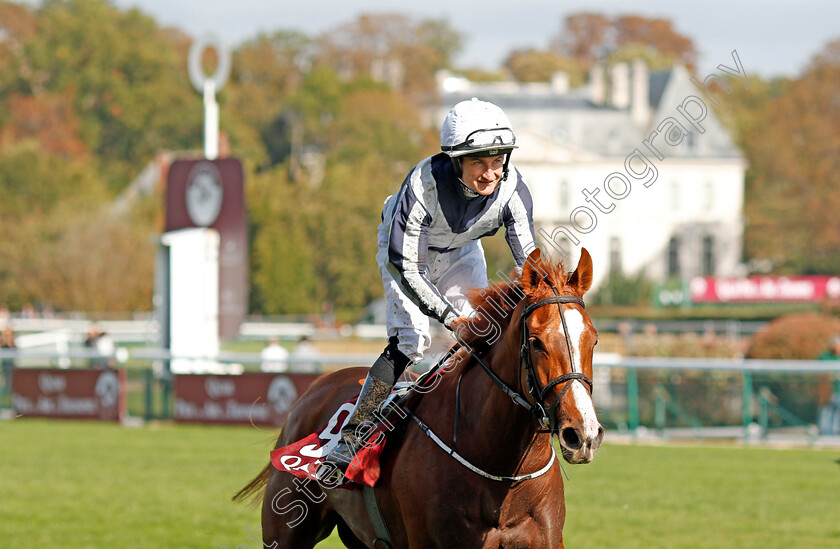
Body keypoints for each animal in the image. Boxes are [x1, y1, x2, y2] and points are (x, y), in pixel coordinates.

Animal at [236, 248, 604, 548]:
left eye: (594, 339)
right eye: (537, 342)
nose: (582, 434)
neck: (502, 473)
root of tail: (317, 385)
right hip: (285, 532)